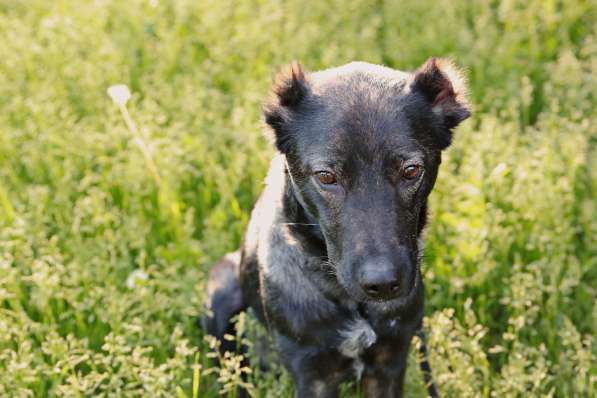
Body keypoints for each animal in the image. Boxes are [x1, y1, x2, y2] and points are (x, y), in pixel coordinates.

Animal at [205, 57, 470, 396]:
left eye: (411, 170)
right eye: (326, 176)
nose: (383, 284)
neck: (350, 302)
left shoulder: (390, 363)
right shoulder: (313, 374)